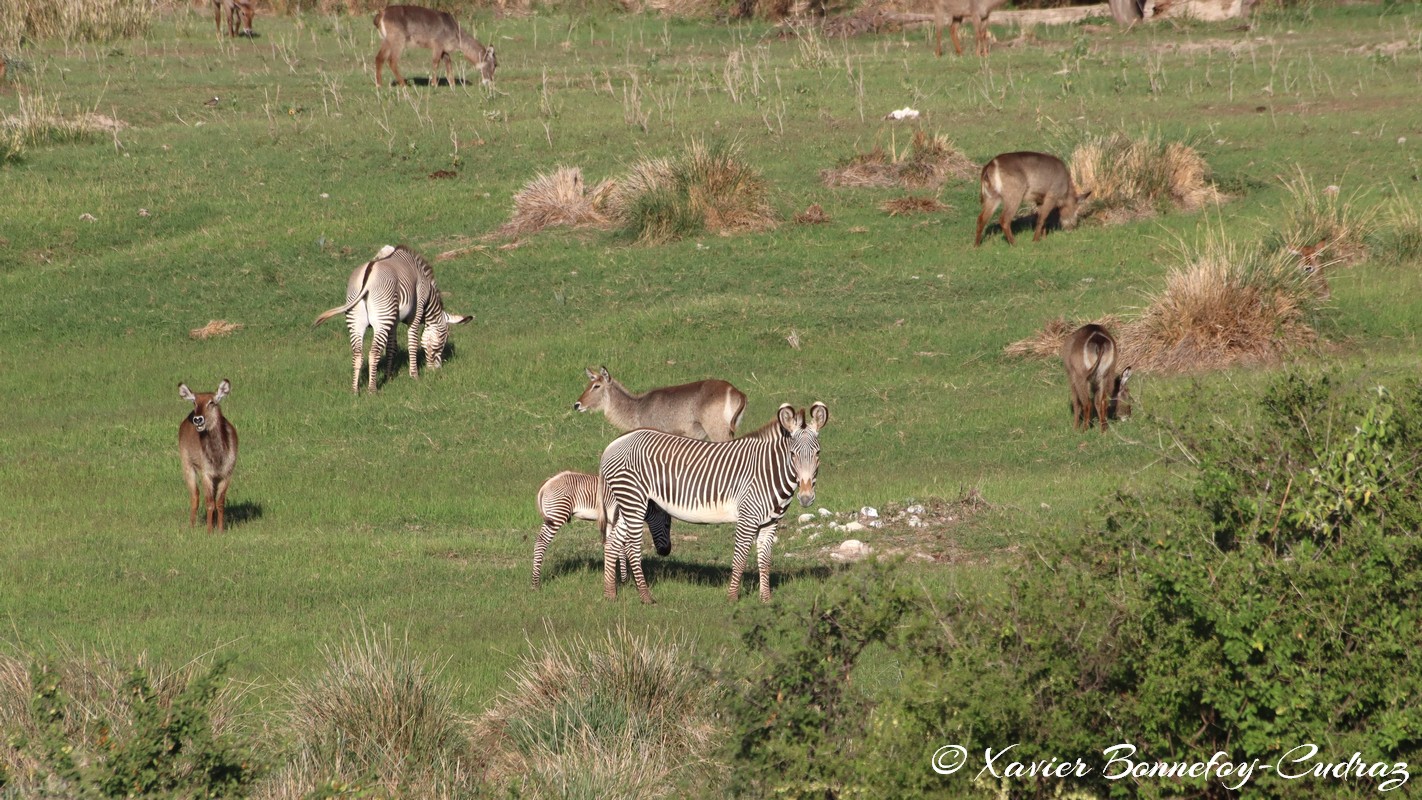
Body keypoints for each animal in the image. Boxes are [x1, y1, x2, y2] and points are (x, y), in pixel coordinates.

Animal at [180, 380, 238, 531]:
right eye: (194, 402)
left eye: (211, 402)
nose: (198, 419)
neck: (218, 457)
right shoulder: (206, 473)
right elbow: (210, 503)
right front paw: (209, 531)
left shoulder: (227, 473)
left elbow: (220, 503)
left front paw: (220, 530)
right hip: (187, 464)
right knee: (195, 496)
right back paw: (192, 526)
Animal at [311, 244, 472, 395]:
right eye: (443, 338)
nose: (436, 371)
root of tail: (368, 275)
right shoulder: (416, 311)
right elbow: (412, 343)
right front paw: (414, 375)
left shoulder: (393, 321)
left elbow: (391, 348)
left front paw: (388, 377)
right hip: (382, 320)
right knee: (373, 353)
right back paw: (372, 390)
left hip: (357, 320)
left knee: (357, 353)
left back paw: (355, 391)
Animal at [531, 471, 674, 591]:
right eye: (667, 525)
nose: (666, 551)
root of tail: (549, 482)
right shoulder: (619, 518)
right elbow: (623, 547)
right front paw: (624, 580)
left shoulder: (611, 521)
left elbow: (614, 547)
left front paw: (615, 578)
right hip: (557, 514)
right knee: (541, 542)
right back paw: (535, 584)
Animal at [571, 369, 750, 443]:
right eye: (589, 383)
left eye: (596, 386)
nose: (577, 404)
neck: (638, 407)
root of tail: (735, 391)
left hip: (718, 431)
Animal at [594, 403, 830, 605]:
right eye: (793, 454)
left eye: (818, 453)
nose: (806, 498)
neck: (768, 471)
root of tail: (613, 444)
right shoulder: (747, 517)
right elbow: (740, 557)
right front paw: (732, 598)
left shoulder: (769, 523)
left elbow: (765, 560)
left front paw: (766, 600)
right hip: (634, 500)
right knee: (632, 546)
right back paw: (645, 597)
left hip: (628, 504)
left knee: (613, 543)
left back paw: (609, 594)